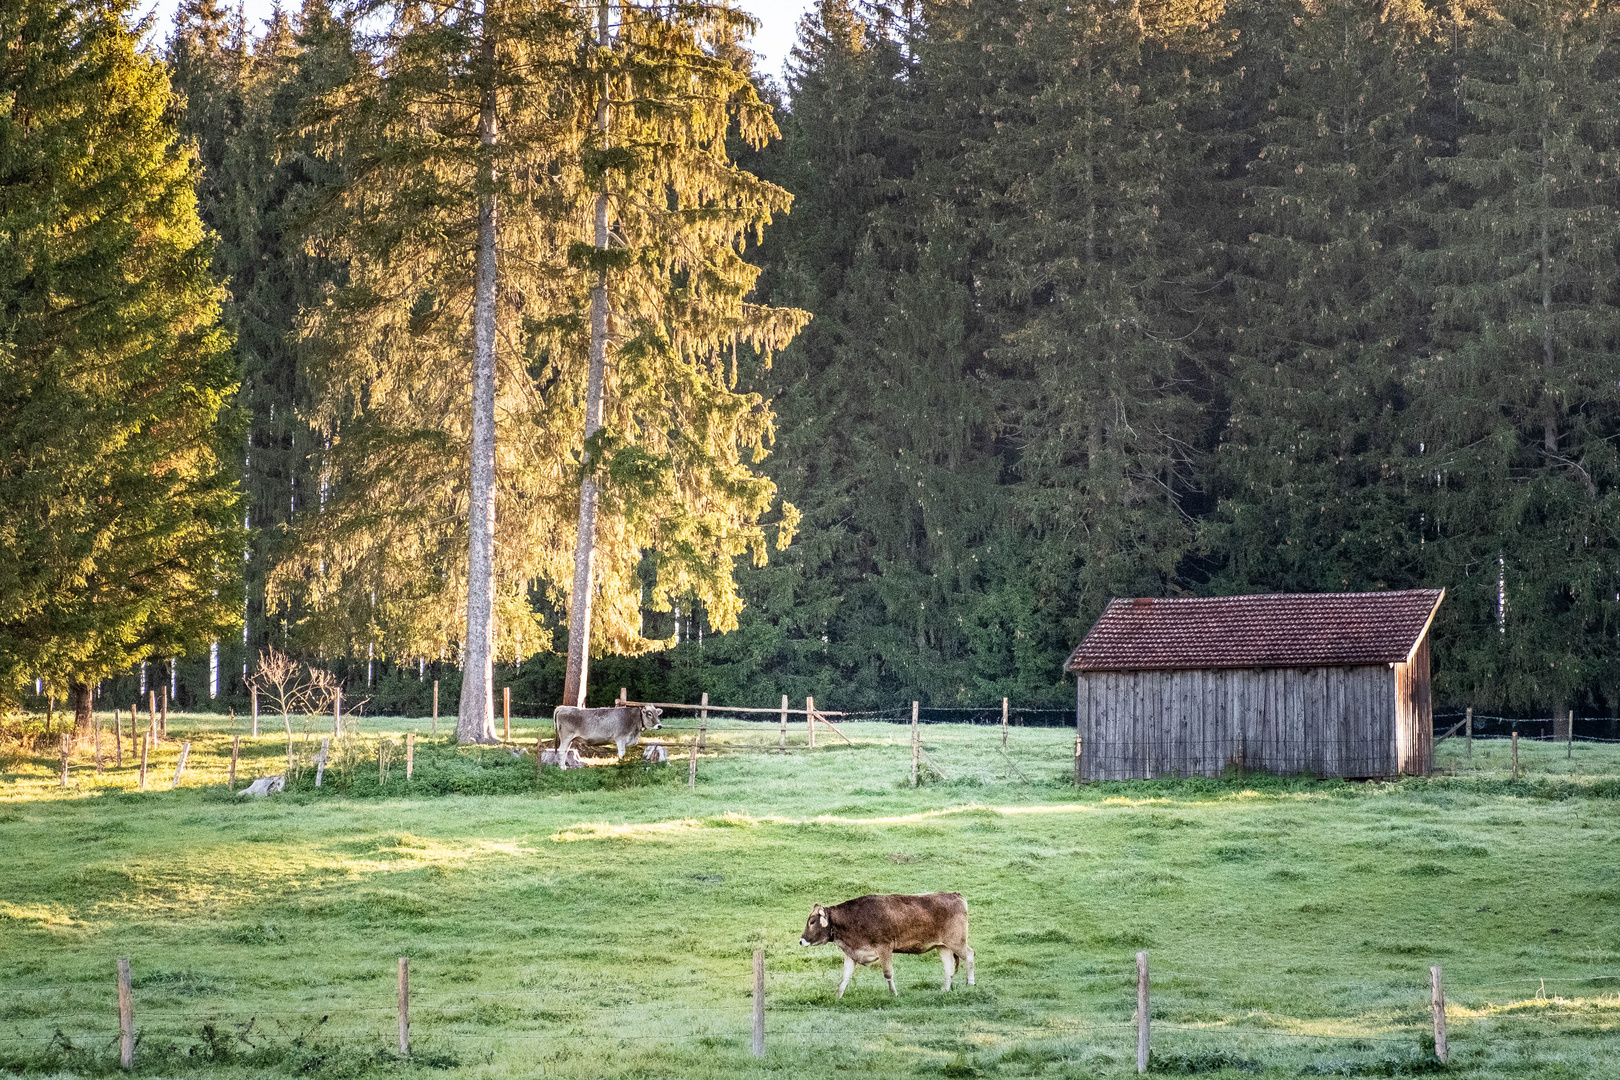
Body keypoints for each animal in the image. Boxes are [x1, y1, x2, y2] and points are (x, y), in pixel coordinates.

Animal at [797, 893, 972, 997]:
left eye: (812, 921)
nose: (801, 940)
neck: (854, 918)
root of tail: (955, 895)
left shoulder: (885, 948)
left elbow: (888, 973)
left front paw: (893, 993)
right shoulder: (851, 952)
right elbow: (845, 976)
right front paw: (838, 996)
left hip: (957, 941)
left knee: (969, 956)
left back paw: (970, 984)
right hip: (943, 946)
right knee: (949, 967)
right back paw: (945, 989)